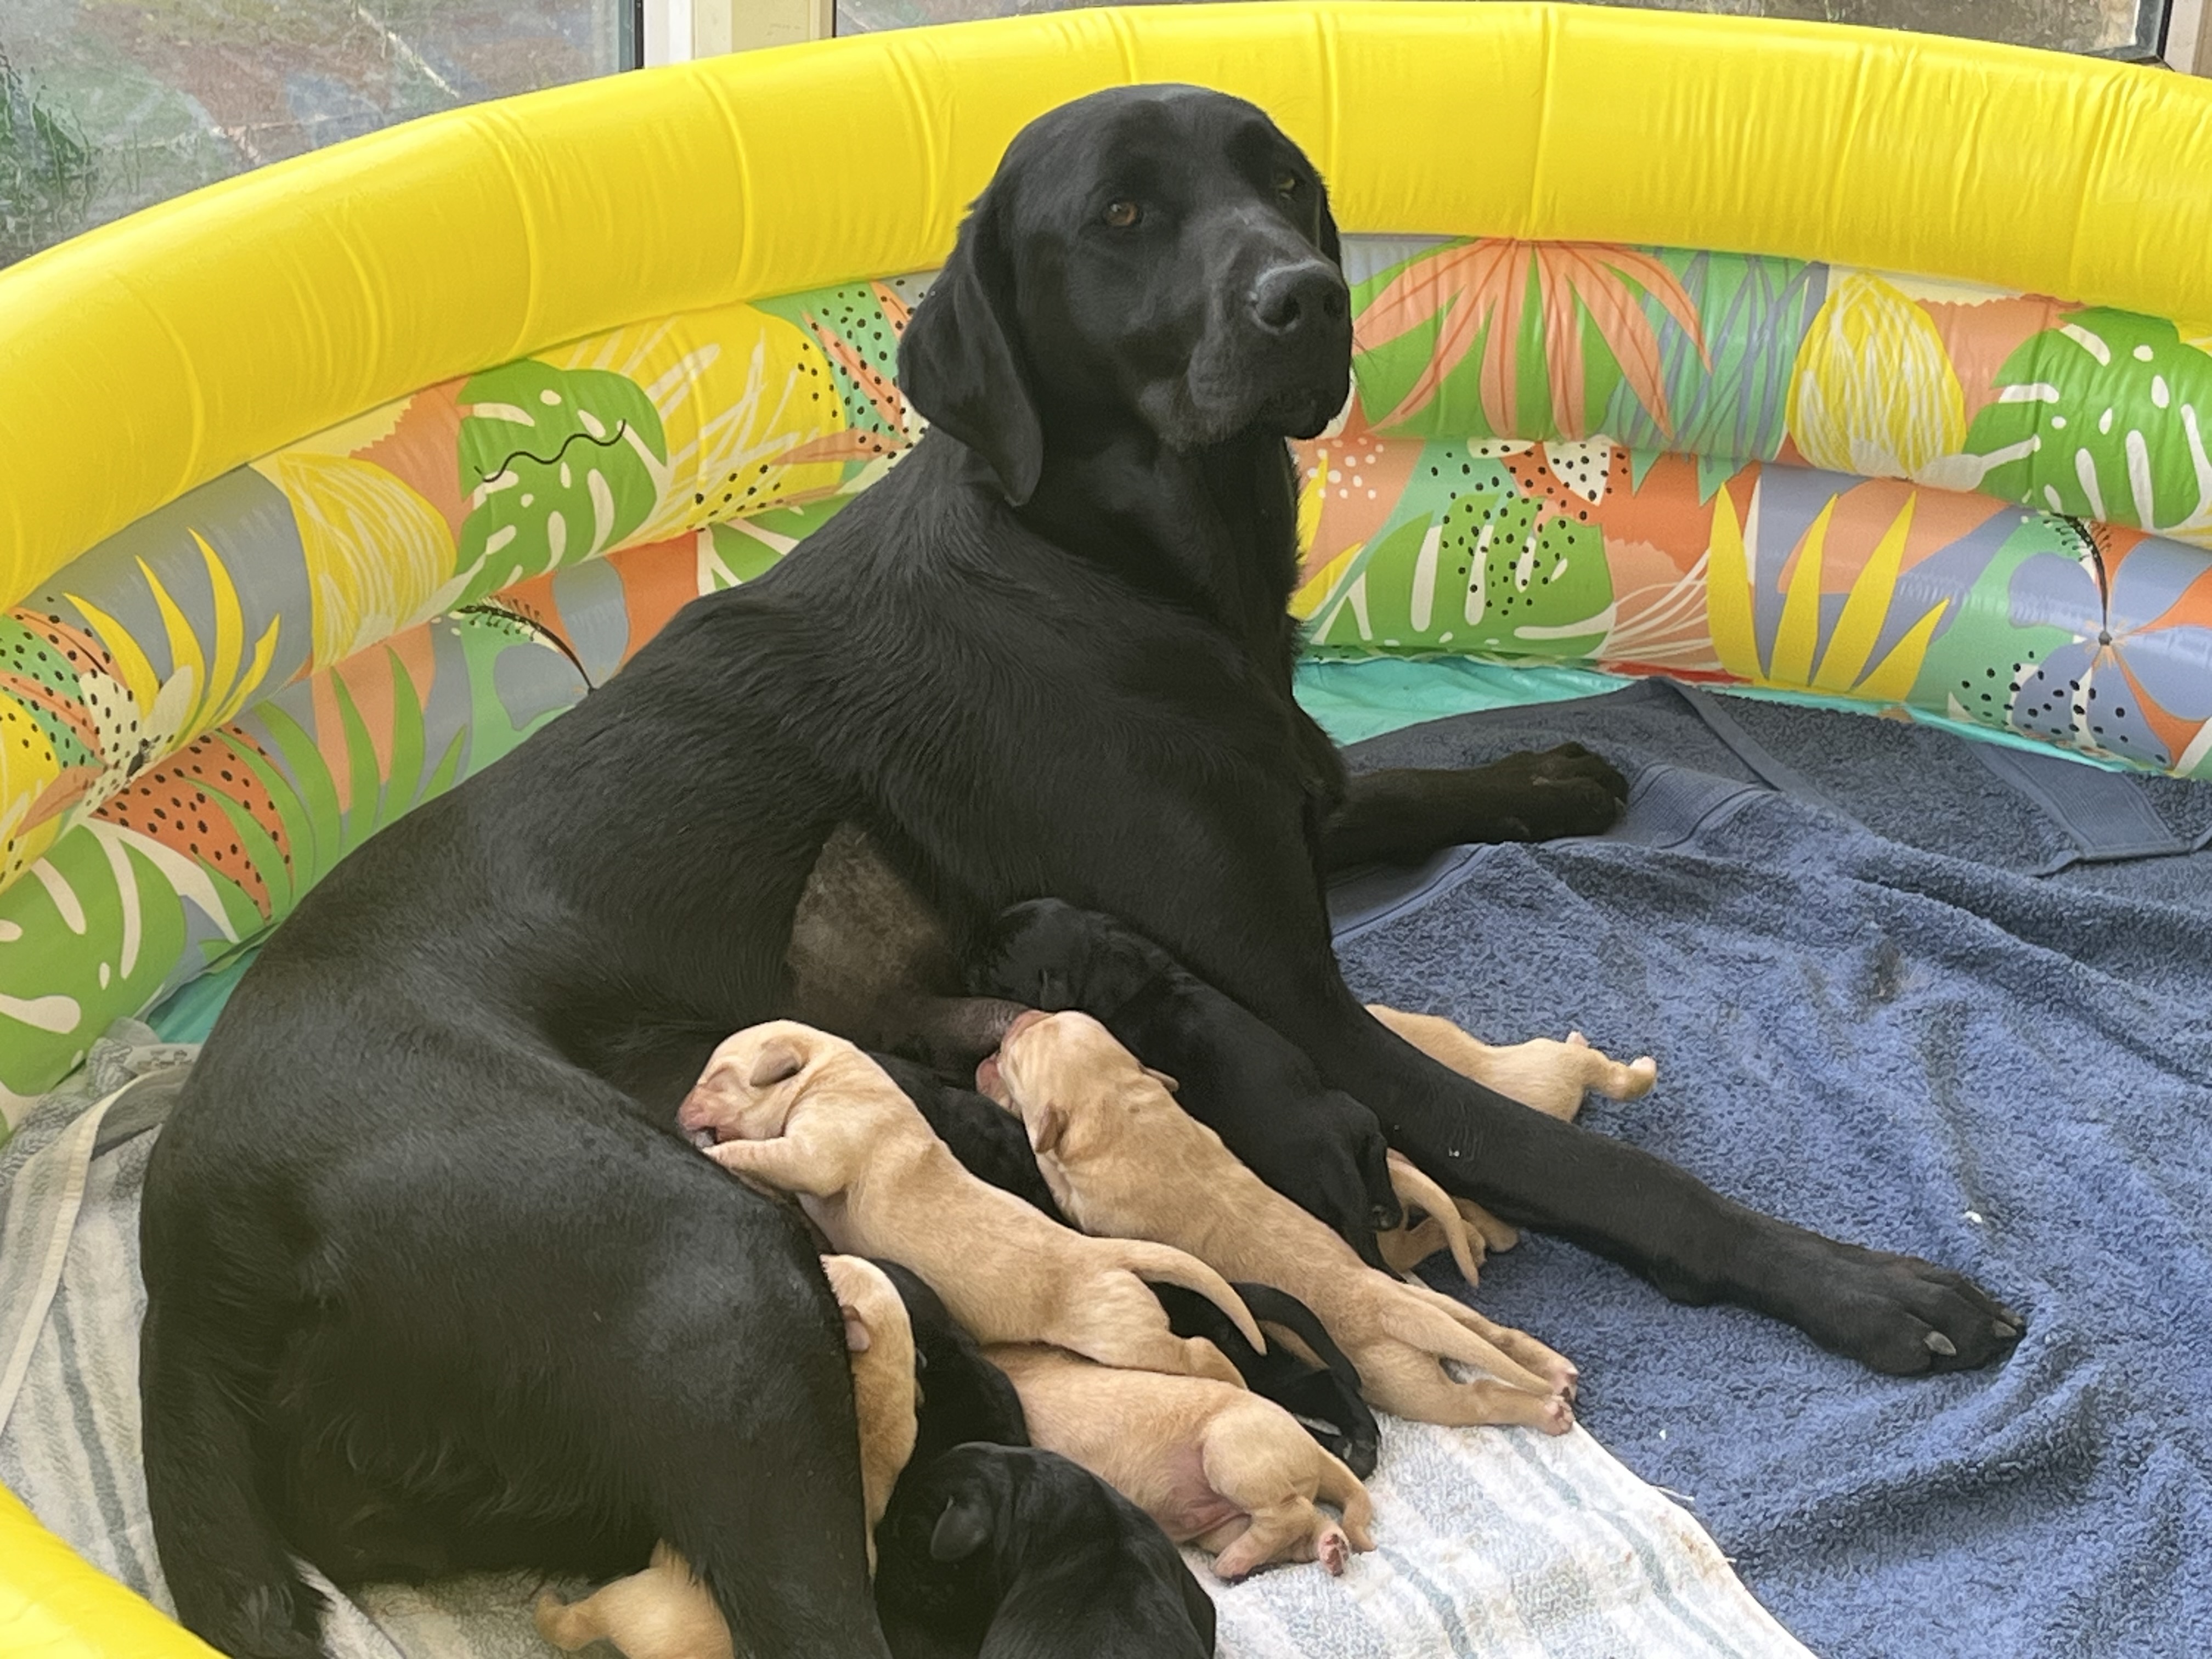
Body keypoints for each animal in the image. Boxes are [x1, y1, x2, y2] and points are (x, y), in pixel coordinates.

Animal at [672, 1026, 1265, 1389]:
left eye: (718, 1080)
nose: (679, 1112)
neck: (831, 1068)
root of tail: (1108, 1256)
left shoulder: (821, 1148)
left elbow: (777, 1156)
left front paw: (716, 1151)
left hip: (1120, 1333)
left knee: (1194, 1353)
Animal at [995, 1345, 1371, 1575]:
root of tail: (1312, 1445)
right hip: (1225, 1526)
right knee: (1308, 1526)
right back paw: (1331, 1548)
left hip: (1232, 1454)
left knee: (1291, 1512)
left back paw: (1232, 1563)